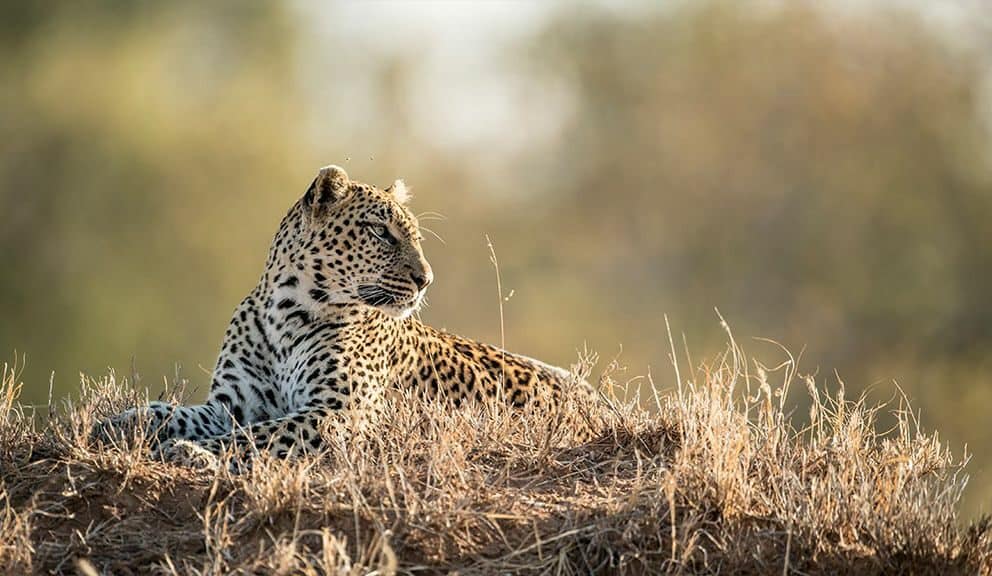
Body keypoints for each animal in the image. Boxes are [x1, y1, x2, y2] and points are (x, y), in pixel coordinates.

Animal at [95, 165, 598, 464]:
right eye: (381, 232)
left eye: (413, 236)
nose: (427, 279)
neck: (286, 312)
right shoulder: (232, 405)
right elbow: (172, 411)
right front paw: (117, 423)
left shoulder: (338, 413)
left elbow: (256, 437)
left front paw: (188, 452)